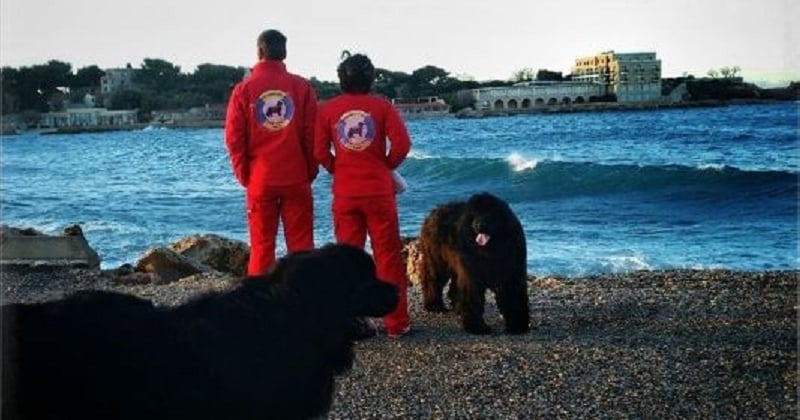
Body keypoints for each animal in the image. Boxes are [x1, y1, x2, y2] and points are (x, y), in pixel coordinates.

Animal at [416, 191, 528, 334]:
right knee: (432, 280)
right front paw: (477, 327)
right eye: (474, 215)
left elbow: (513, 298)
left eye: (490, 214)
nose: (479, 225)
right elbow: (472, 299)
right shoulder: (472, 275)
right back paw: (434, 305)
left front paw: (517, 325)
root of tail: (435, 210)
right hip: (437, 261)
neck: (491, 251)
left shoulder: (511, 273)